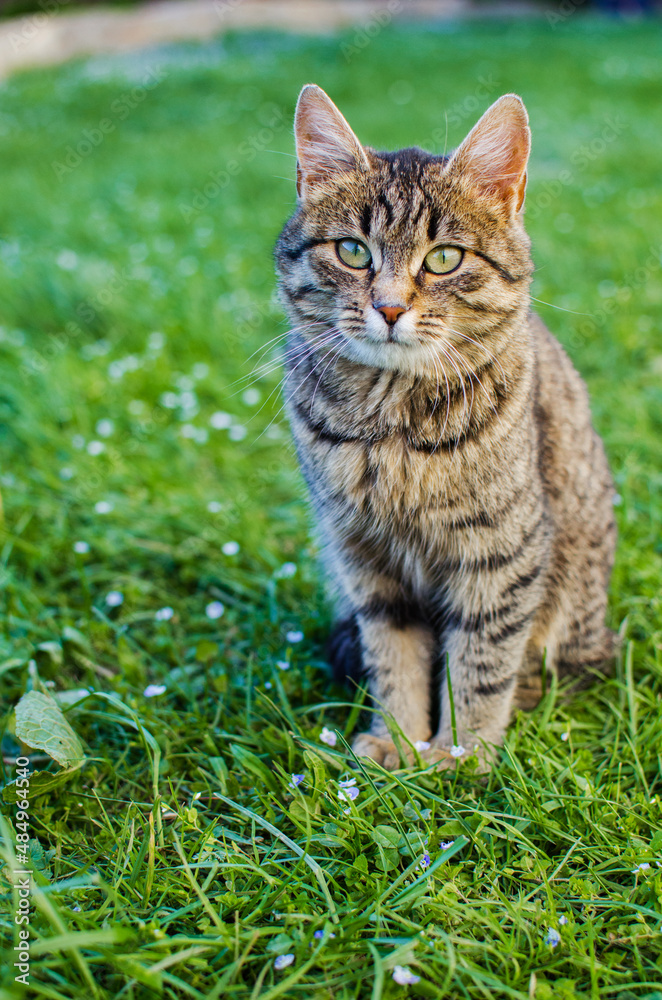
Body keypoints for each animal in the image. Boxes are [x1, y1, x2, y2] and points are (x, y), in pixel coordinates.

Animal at [274, 86, 616, 772]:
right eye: (353, 251)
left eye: (444, 259)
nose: (388, 308)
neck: (389, 425)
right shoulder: (364, 556)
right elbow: (394, 654)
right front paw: (399, 739)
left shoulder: (500, 555)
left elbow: (482, 661)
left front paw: (462, 751)